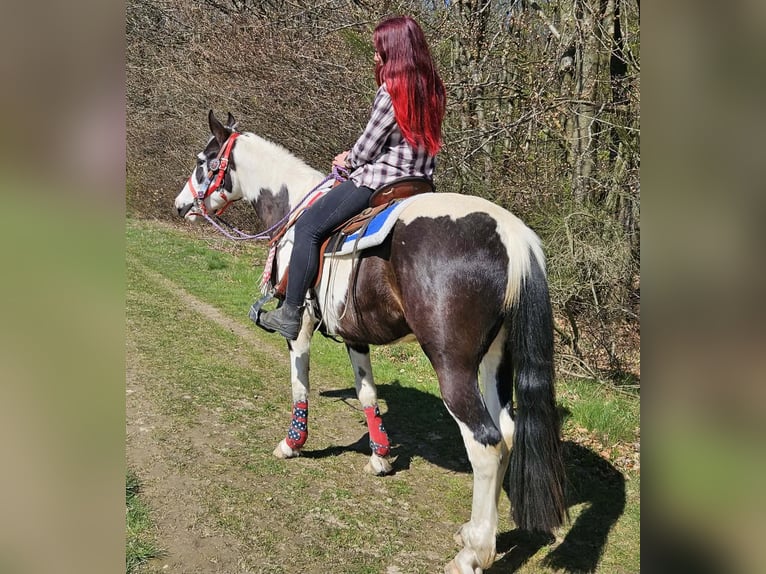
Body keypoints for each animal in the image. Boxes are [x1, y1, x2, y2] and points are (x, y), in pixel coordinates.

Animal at [174, 110, 566, 574]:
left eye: (203, 161)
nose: (181, 204)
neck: (293, 209)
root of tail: (514, 237)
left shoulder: (300, 326)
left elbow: (299, 384)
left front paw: (292, 443)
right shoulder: (354, 336)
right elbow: (367, 393)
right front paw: (379, 457)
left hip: (452, 365)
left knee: (485, 444)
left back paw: (473, 553)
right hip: (493, 361)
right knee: (505, 433)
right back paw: (473, 532)